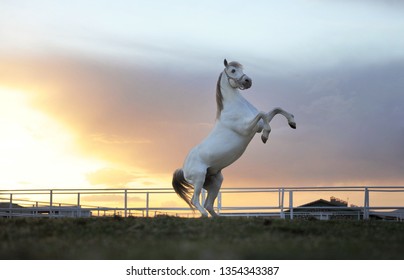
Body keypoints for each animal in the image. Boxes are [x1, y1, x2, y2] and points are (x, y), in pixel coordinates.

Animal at [172, 58, 296, 217]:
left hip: (215, 181)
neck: (235, 106)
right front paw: (265, 136)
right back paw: (204, 216)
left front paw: (292, 122)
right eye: (233, 70)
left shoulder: (259, 125)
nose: (248, 81)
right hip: (199, 178)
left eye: (242, 69)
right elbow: (262, 113)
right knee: (196, 200)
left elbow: (275, 109)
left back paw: (217, 218)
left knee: (208, 204)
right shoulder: (247, 128)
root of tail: (183, 169)